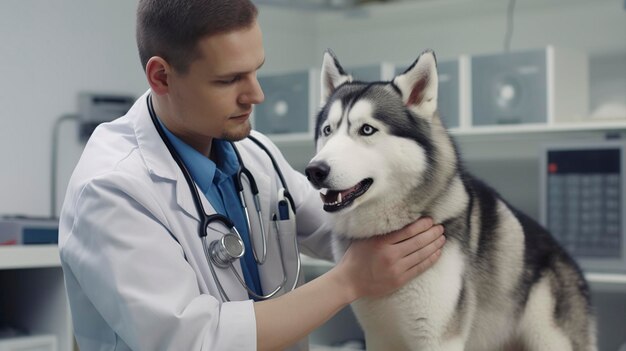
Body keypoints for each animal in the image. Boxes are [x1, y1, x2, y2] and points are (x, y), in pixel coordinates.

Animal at [304, 50, 596, 351]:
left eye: (366, 130)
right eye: (328, 130)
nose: (314, 171)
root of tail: (570, 262)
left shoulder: (438, 336)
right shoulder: (379, 335)